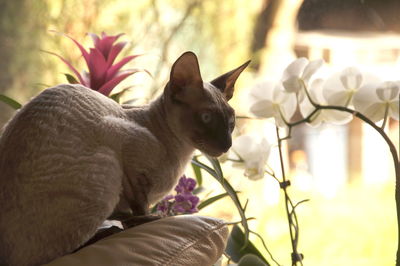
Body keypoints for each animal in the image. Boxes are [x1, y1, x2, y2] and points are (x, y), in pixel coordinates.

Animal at [0, 51, 250, 264]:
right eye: (206, 117)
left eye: (231, 121)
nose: (227, 145)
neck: (182, 154)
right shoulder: (125, 150)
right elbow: (140, 203)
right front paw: (146, 217)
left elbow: (135, 207)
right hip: (108, 168)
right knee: (60, 250)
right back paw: (124, 226)